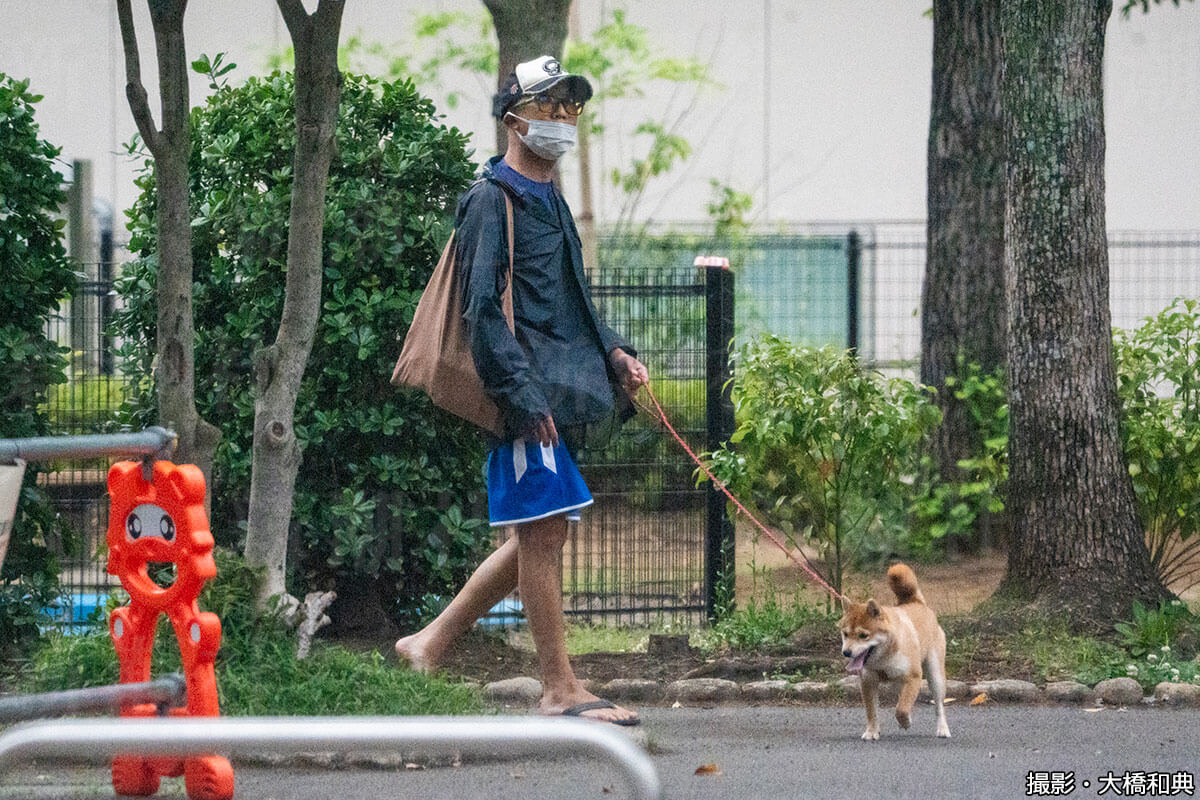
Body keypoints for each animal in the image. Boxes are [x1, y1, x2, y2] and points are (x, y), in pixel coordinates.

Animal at [840, 563, 950, 738]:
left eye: (863, 636)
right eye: (845, 634)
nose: (846, 652)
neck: (884, 656)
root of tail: (918, 603)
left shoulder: (914, 677)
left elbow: (901, 709)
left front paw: (905, 721)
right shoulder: (868, 681)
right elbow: (872, 712)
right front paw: (872, 732)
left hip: (935, 675)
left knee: (938, 705)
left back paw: (942, 729)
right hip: (898, 682)